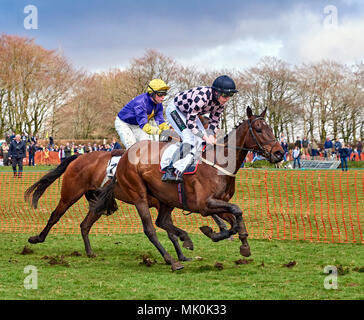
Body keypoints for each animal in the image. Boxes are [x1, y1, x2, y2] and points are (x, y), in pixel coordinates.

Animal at [91, 107, 284, 270]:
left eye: (270, 129)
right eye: (258, 129)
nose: (279, 153)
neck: (218, 164)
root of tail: (124, 156)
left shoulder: (220, 203)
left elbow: (235, 220)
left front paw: (239, 242)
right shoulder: (205, 205)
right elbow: (236, 211)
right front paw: (218, 234)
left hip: (166, 199)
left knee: (162, 222)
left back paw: (185, 239)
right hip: (139, 196)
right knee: (150, 229)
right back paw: (172, 260)